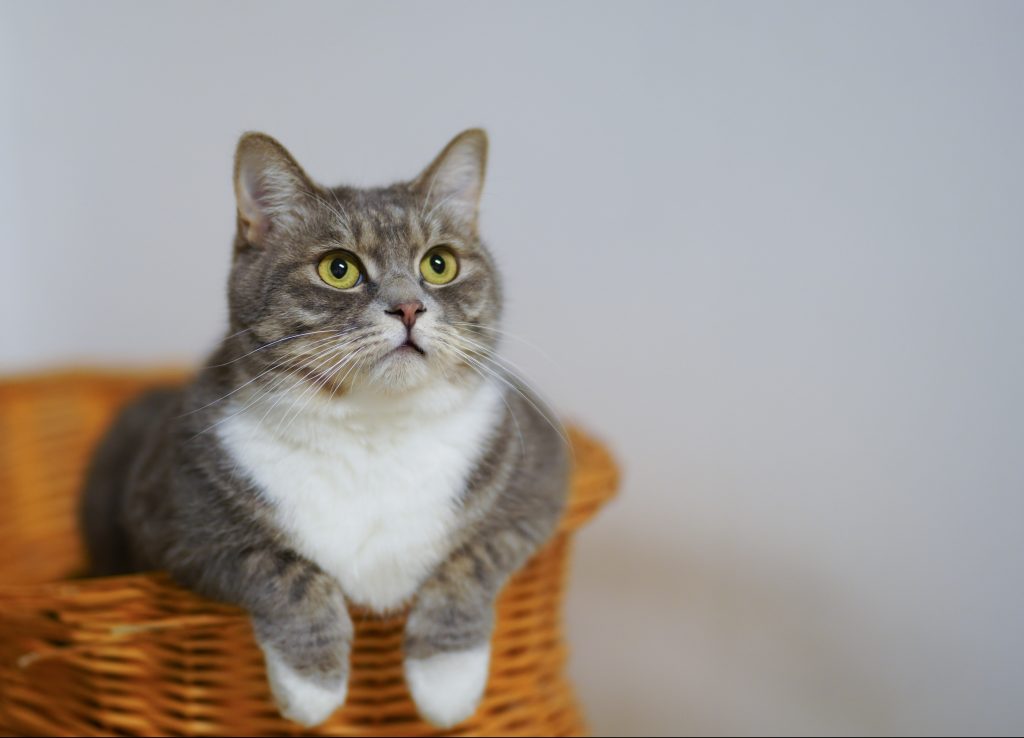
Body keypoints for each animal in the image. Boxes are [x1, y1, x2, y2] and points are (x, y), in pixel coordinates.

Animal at [81, 129, 569, 728]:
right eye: (339, 269)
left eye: (439, 264)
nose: (409, 307)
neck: (373, 429)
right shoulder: (176, 513)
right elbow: (280, 566)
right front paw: (311, 685)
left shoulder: (539, 477)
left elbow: (474, 556)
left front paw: (446, 678)